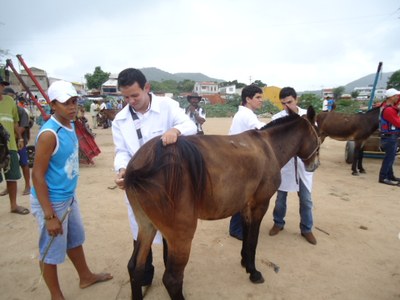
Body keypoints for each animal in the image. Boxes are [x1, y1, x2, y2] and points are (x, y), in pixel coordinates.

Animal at [123, 106, 320, 298]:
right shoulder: (260, 205)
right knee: (172, 279)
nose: (314, 165)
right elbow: (253, 241)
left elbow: (246, 237)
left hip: (147, 226)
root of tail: (142, 164)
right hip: (181, 234)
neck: (267, 147)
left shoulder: (246, 206)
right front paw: (254, 272)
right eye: (317, 135)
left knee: (135, 267)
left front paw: (245, 262)